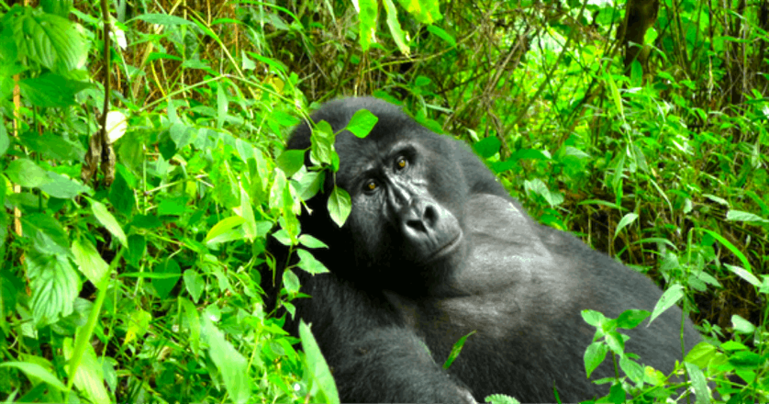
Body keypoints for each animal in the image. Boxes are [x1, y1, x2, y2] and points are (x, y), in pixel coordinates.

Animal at [266, 98, 704, 404]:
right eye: (370, 187)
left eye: (403, 162)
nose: (419, 216)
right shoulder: (304, 265)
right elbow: (380, 359)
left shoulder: (457, 155)